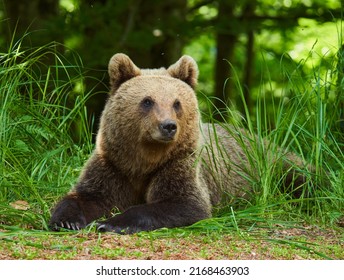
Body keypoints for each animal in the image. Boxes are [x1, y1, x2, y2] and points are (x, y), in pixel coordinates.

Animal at [49, 53, 310, 233]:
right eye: (147, 101)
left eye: (176, 103)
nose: (168, 126)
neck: (144, 161)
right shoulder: (113, 165)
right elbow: (88, 195)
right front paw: (67, 220)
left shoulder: (179, 163)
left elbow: (184, 203)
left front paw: (111, 223)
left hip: (274, 164)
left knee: (302, 177)